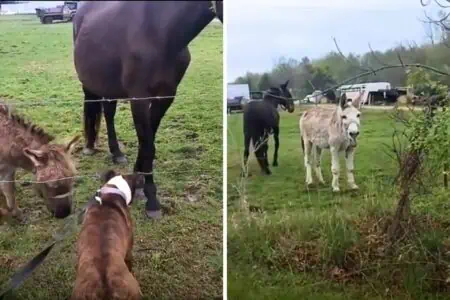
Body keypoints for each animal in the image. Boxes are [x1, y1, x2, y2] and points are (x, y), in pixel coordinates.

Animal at [73, 1, 224, 219]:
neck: (160, 31)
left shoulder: (166, 97)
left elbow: (148, 141)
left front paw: (139, 178)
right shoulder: (139, 98)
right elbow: (147, 144)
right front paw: (152, 200)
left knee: (109, 113)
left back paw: (116, 152)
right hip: (90, 82)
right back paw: (90, 146)